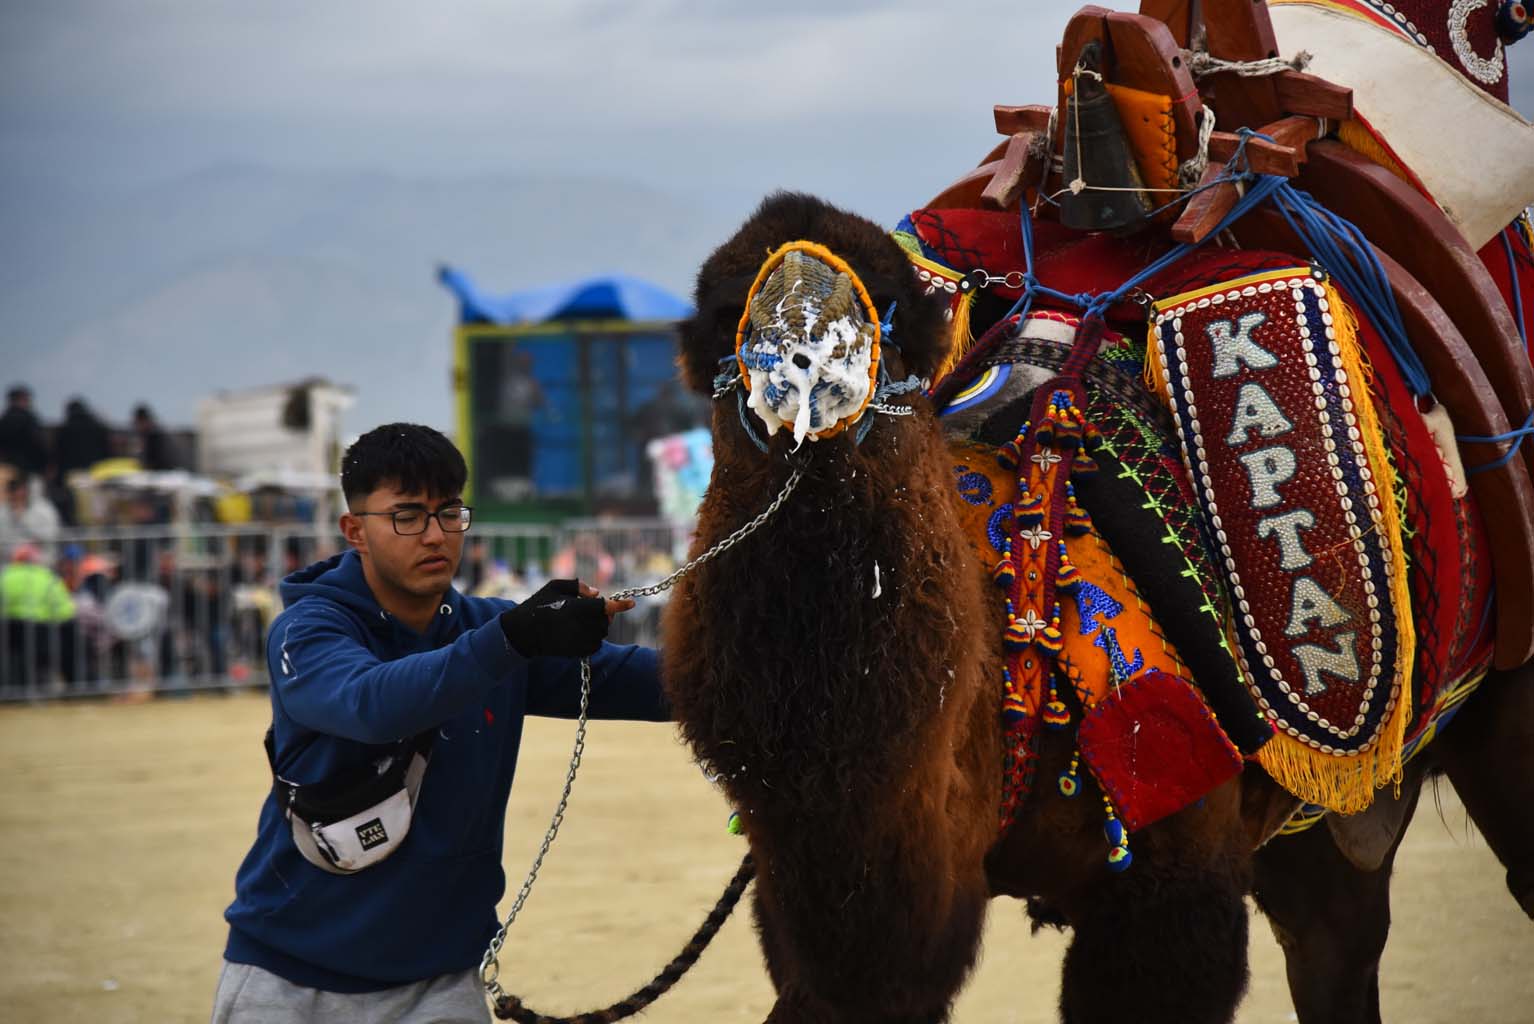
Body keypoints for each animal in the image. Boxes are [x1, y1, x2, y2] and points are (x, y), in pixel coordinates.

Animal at [662, 2, 1534, 1024]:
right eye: (728, 335)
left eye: (878, 325)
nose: (795, 365)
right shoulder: (824, 939)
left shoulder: (1173, 881)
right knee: (1338, 944)